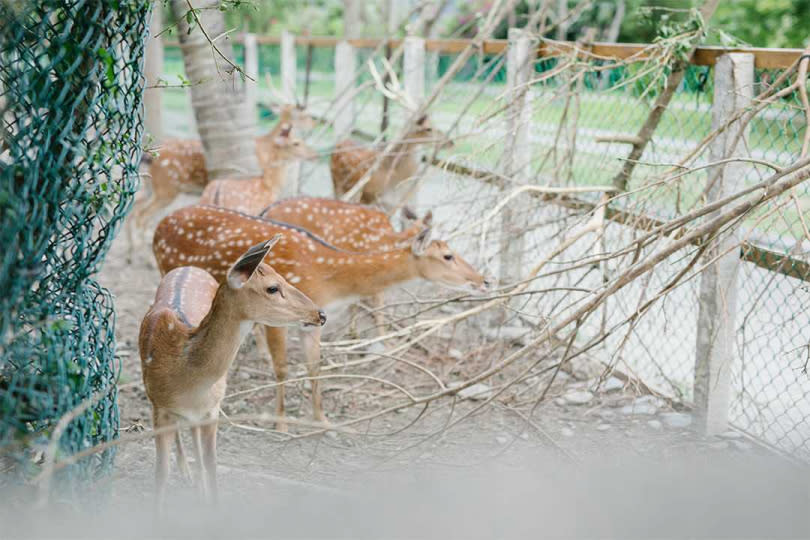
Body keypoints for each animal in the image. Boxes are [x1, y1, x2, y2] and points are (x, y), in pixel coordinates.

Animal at [140, 238, 326, 504]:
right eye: (272, 288)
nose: (321, 314)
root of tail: (187, 267)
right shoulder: (158, 405)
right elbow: (161, 473)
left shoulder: (213, 408)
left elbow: (212, 466)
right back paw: (186, 472)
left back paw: (195, 480)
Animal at [151, 206, 486, 430]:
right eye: (448, 256)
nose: (484, 280)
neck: (330, 278)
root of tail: (159, 226)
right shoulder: (281, 318)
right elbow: (284, 368)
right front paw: (281, 424)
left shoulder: (312, 320)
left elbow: (315, 367)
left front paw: (322, 421)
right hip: (169, 266)